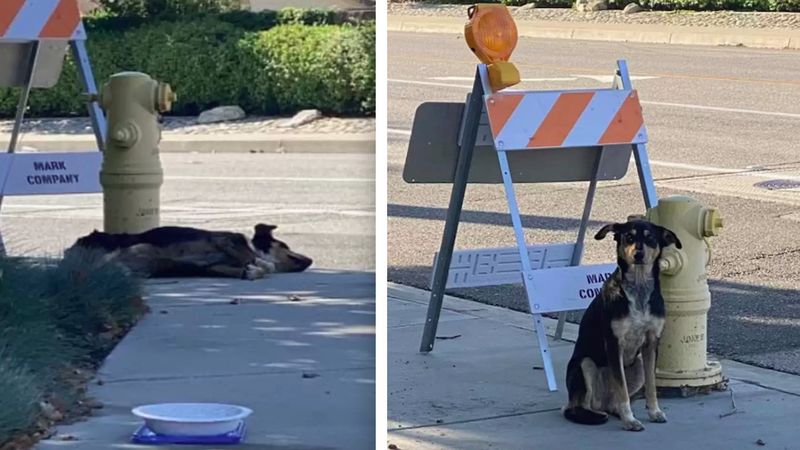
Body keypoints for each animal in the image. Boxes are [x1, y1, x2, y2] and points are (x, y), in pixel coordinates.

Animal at [564, 220, 680, 430]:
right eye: (629, 237)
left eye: (650, 238)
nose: (638, 254)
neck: (639, 289)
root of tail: (602, 403)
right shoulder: (614, 343)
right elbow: (622, 388)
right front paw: (629, 419)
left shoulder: (652, 343)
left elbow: (651, 385)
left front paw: (654, 412)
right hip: (585, 364)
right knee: (579, 406)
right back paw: (596, 415)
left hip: (638, 365)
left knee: (612, 402)